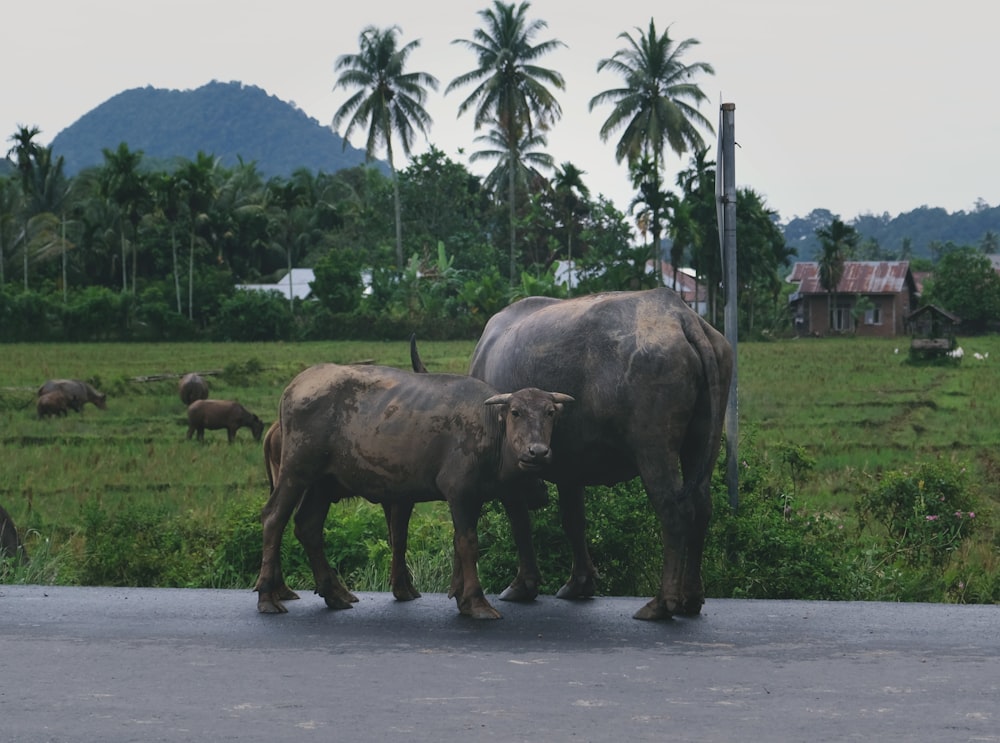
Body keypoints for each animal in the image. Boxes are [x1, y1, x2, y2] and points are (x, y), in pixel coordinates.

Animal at [254, 364, 576, 620]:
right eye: (516, 412)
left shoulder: (473, 498)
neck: (489, 429)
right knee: (274, 518)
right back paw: (268, 597)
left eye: (550, 413)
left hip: (323, 483)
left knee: (308, 525)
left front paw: (460, 597)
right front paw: (476, 602)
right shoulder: (459, 492)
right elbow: (468, 543)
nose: (537, 451)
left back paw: (333, 593)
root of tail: (296, 386)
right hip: (296, 471)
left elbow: (458, 542)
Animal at [464, 286, 732, 620]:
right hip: (704, 436)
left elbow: (520, 521)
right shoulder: (570, 468)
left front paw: (524, 584)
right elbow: (573, 519)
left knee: (675, 512)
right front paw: (580, 583)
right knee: (702, 506)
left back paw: (661, 603)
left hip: (654, 448)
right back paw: (691, 598)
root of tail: (680, 315)